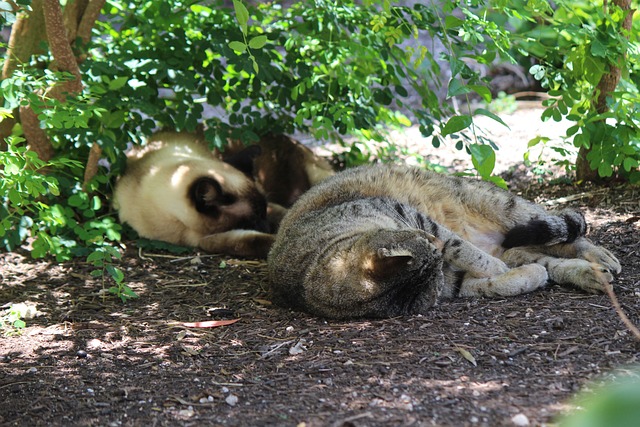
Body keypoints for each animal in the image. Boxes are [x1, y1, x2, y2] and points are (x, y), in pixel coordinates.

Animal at [268, 166, 624, 320]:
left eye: (427, 240)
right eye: (436, 269)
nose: (436, 250)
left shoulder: (413, 216)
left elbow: (458, 245)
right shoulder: (453, 283)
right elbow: (496, 282)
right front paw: (521, 276)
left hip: (504, 205)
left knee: (566, 230)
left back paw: (600, 255)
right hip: (516, 241)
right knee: (542, 255)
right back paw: (589, 274)